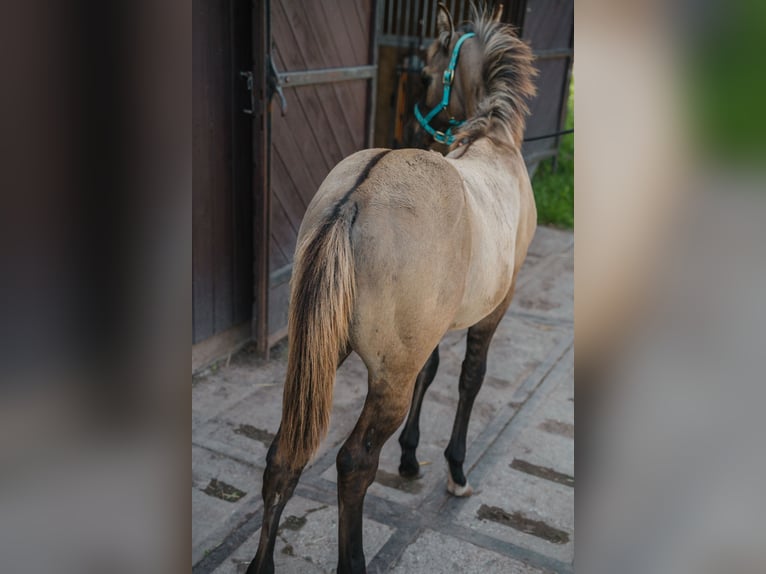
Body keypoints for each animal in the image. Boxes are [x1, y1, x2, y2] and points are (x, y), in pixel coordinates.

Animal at [249, 4, 536, 574]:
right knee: (354, 462)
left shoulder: (431, 332)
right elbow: (470, 378)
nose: (413, 123)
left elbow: (434, 370)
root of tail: (355, 198)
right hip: (386, 382)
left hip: (319, 354)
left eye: (423, 74)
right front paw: (455, 470)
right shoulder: (494, 310)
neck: (494, 143)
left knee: (284, 455)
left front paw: (409, 457)